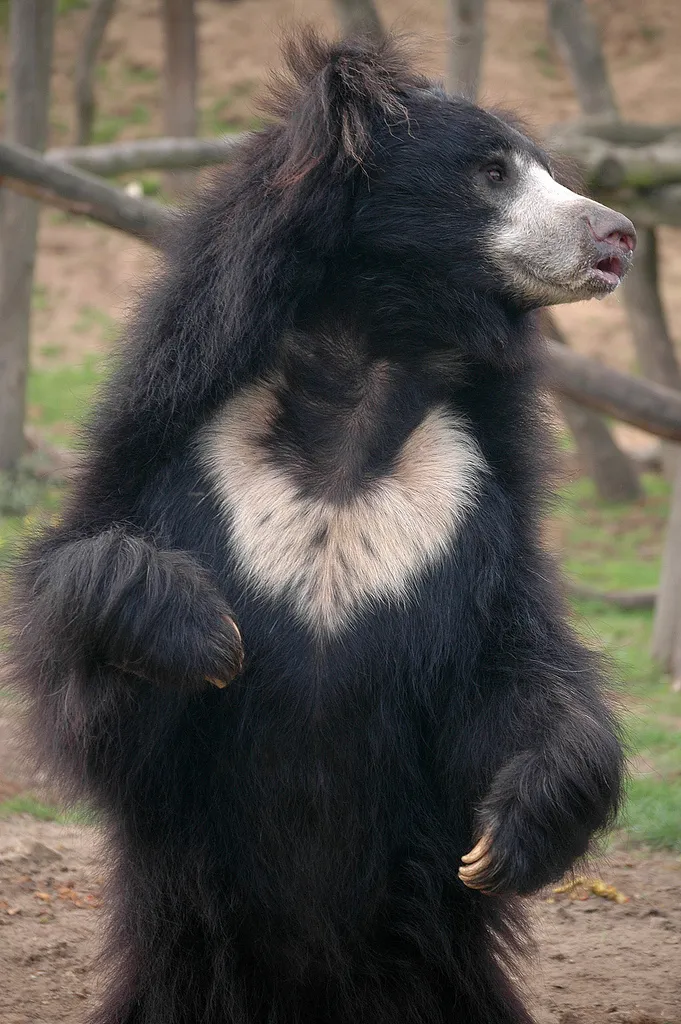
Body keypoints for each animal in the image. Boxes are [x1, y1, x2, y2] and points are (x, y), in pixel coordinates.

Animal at [10, 31, 634, 1024]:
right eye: (491, 172)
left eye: (550, 172)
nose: (617, 236)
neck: (363, 368)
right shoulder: (181, 455)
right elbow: (95, 680)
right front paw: (203, 635)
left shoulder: (470, 503)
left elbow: (515, 669)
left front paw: (510, 834)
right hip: (190, 957)